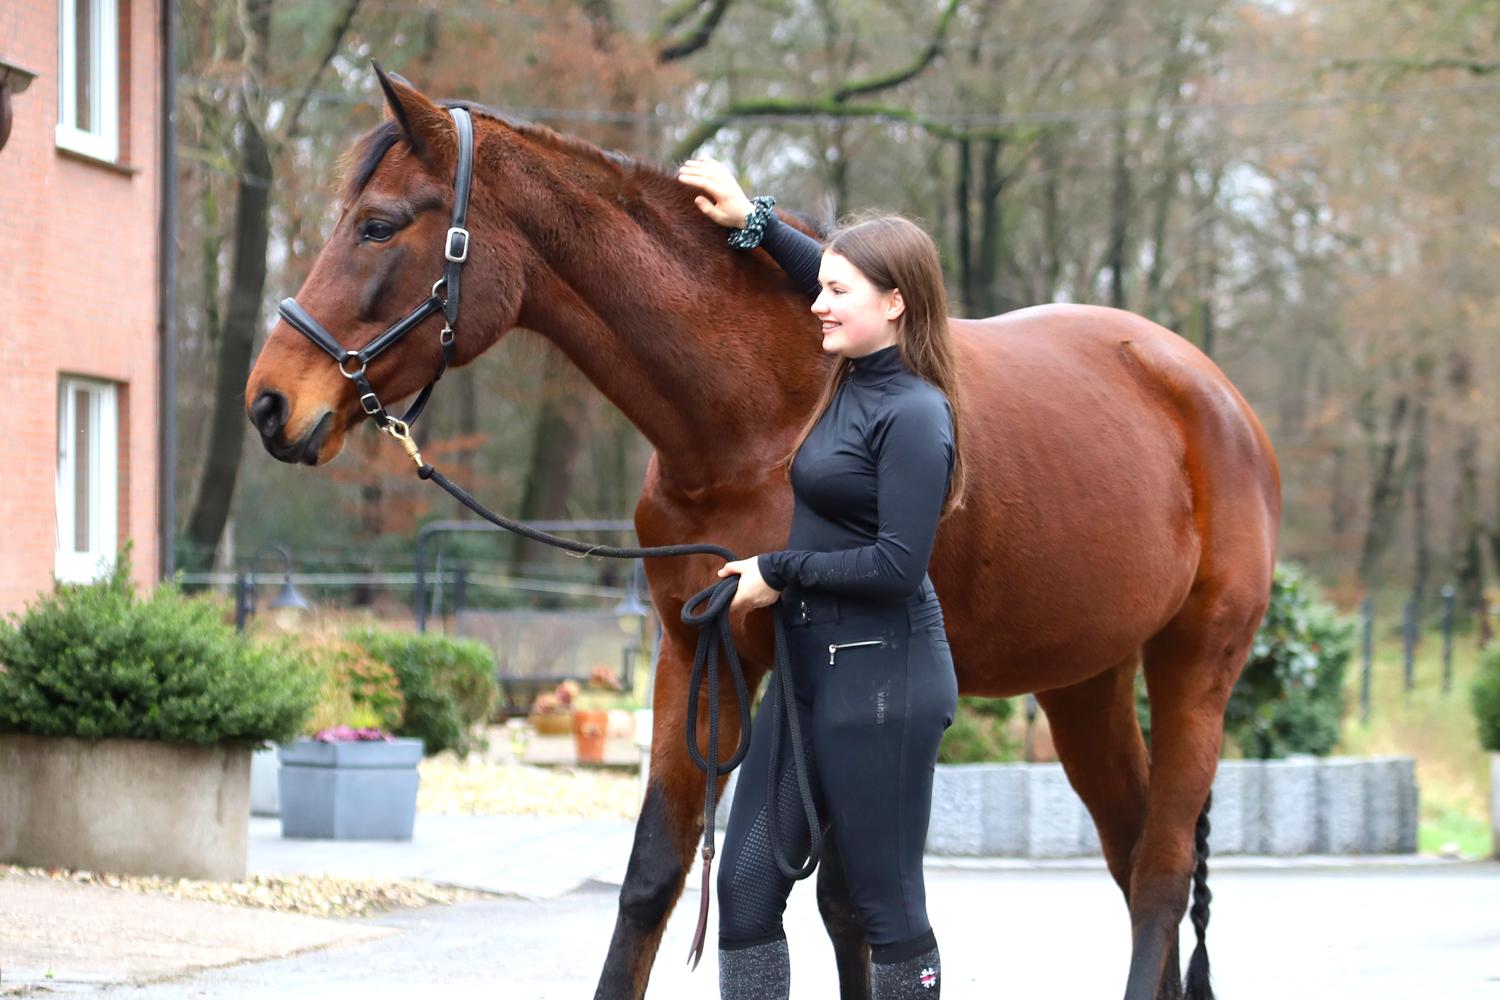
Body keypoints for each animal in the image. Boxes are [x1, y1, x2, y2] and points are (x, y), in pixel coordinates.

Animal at [244, 68, 1280, 1000]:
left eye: (380, 224)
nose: (270, 403)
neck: (758, 412)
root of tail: (1214, 394)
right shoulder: (694, 651)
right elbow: (657, 881)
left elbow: (851, 904)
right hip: (1084, 682)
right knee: (1135, 854)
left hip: (1194, 671)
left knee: (1159, 874)